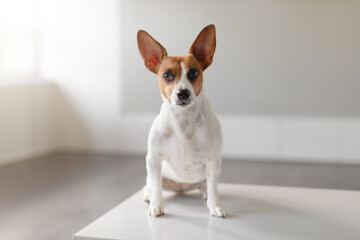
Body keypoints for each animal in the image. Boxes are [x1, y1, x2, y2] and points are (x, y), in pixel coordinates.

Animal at [137, 23, 225, 218]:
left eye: (194, 73)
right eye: (167, 75)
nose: (183, 93)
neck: (183, 121)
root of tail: (182, 187)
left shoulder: (213, 162)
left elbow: (214, 188)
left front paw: (215, 206)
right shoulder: (153, 160)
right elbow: (157, 187)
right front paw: (156, 205)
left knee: (207, 186)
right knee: (151, 184)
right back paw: (149, 195)